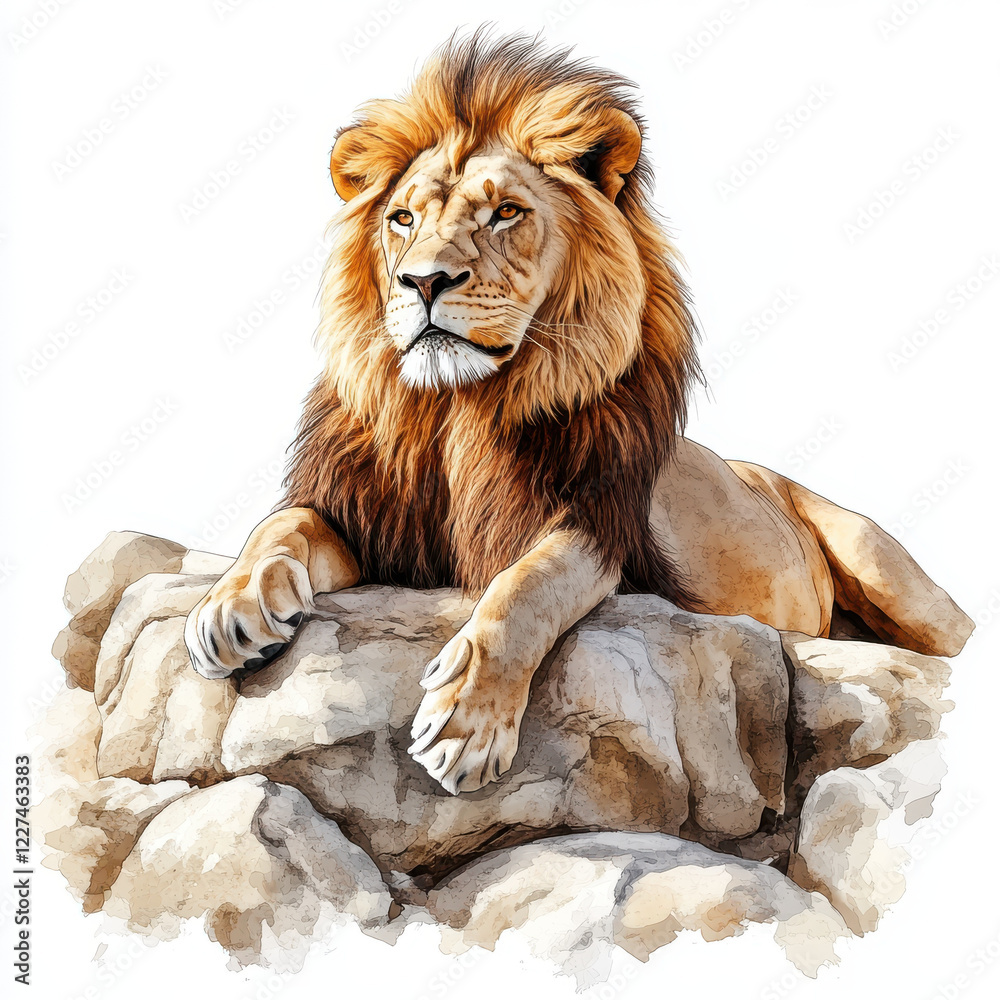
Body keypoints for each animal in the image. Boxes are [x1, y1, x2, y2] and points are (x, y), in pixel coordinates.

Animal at [185, 31, 973, 795]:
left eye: (506, 212)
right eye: (402, 219)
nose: (423, 281)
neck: (458, 410)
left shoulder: (599, 523)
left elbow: (527, 587)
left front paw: (465, 723)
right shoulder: (365, 521)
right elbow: (281, 525)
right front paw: (229, 607)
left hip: (883, 564)